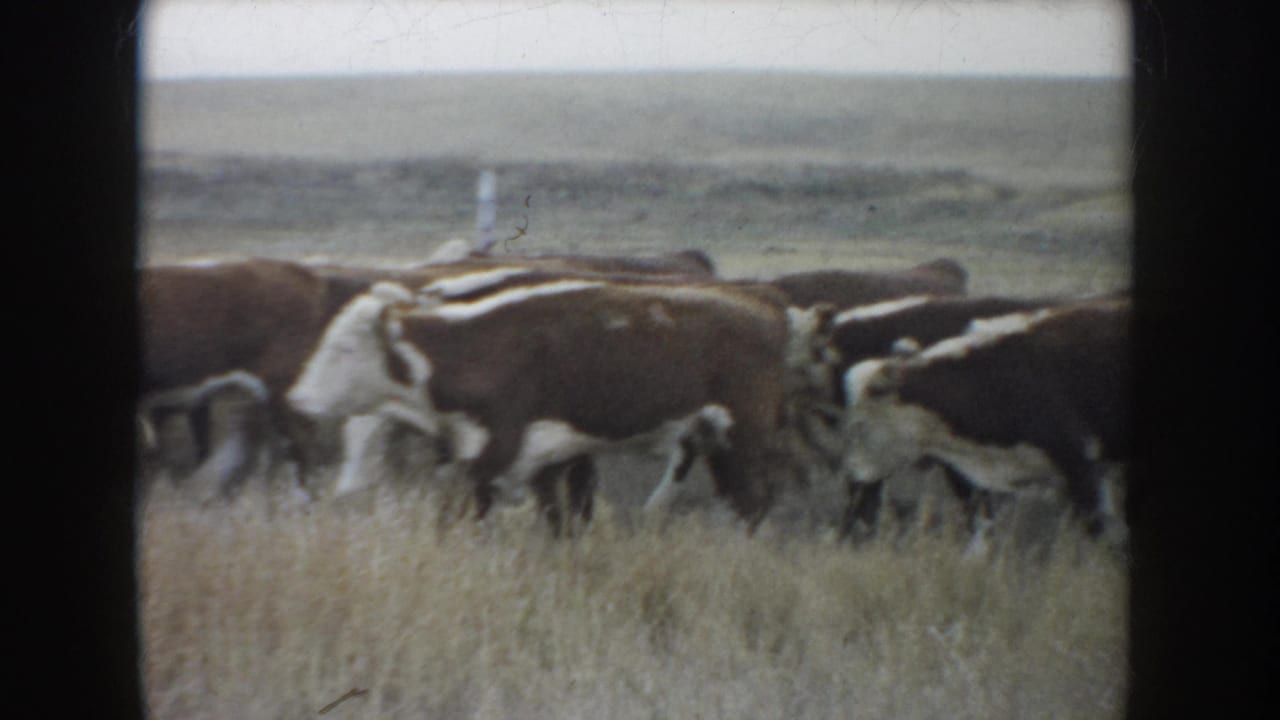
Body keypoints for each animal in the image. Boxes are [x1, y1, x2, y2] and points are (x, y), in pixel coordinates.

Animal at [287, 278, 836, 534]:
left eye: (343, 347)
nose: (297, 397)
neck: (474, 348)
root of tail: (764, 301)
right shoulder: (541, 461)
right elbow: (557, 522)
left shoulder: (493, 456)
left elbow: (457, 518)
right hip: (713, 438)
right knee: (737, 498)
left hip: (743, 433)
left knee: (753, 500)